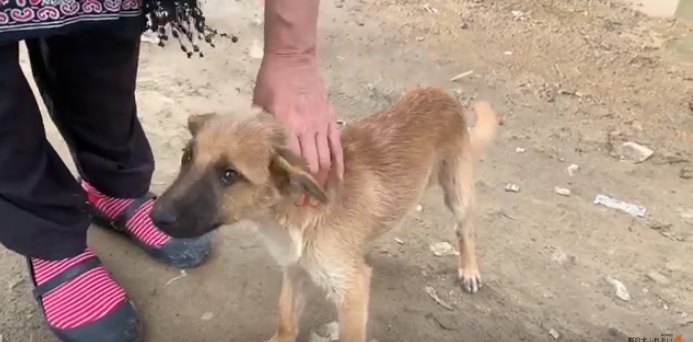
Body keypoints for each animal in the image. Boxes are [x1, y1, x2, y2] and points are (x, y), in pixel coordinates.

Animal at [150, 87, 498, 342]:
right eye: (187, 156)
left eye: (228, 175)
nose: (155, 216)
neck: (288, 213)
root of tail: (443, 94)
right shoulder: (295, 270)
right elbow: (286, 319)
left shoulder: (353, 291)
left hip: (458, 190)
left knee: (465, 230)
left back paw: (469, 270)